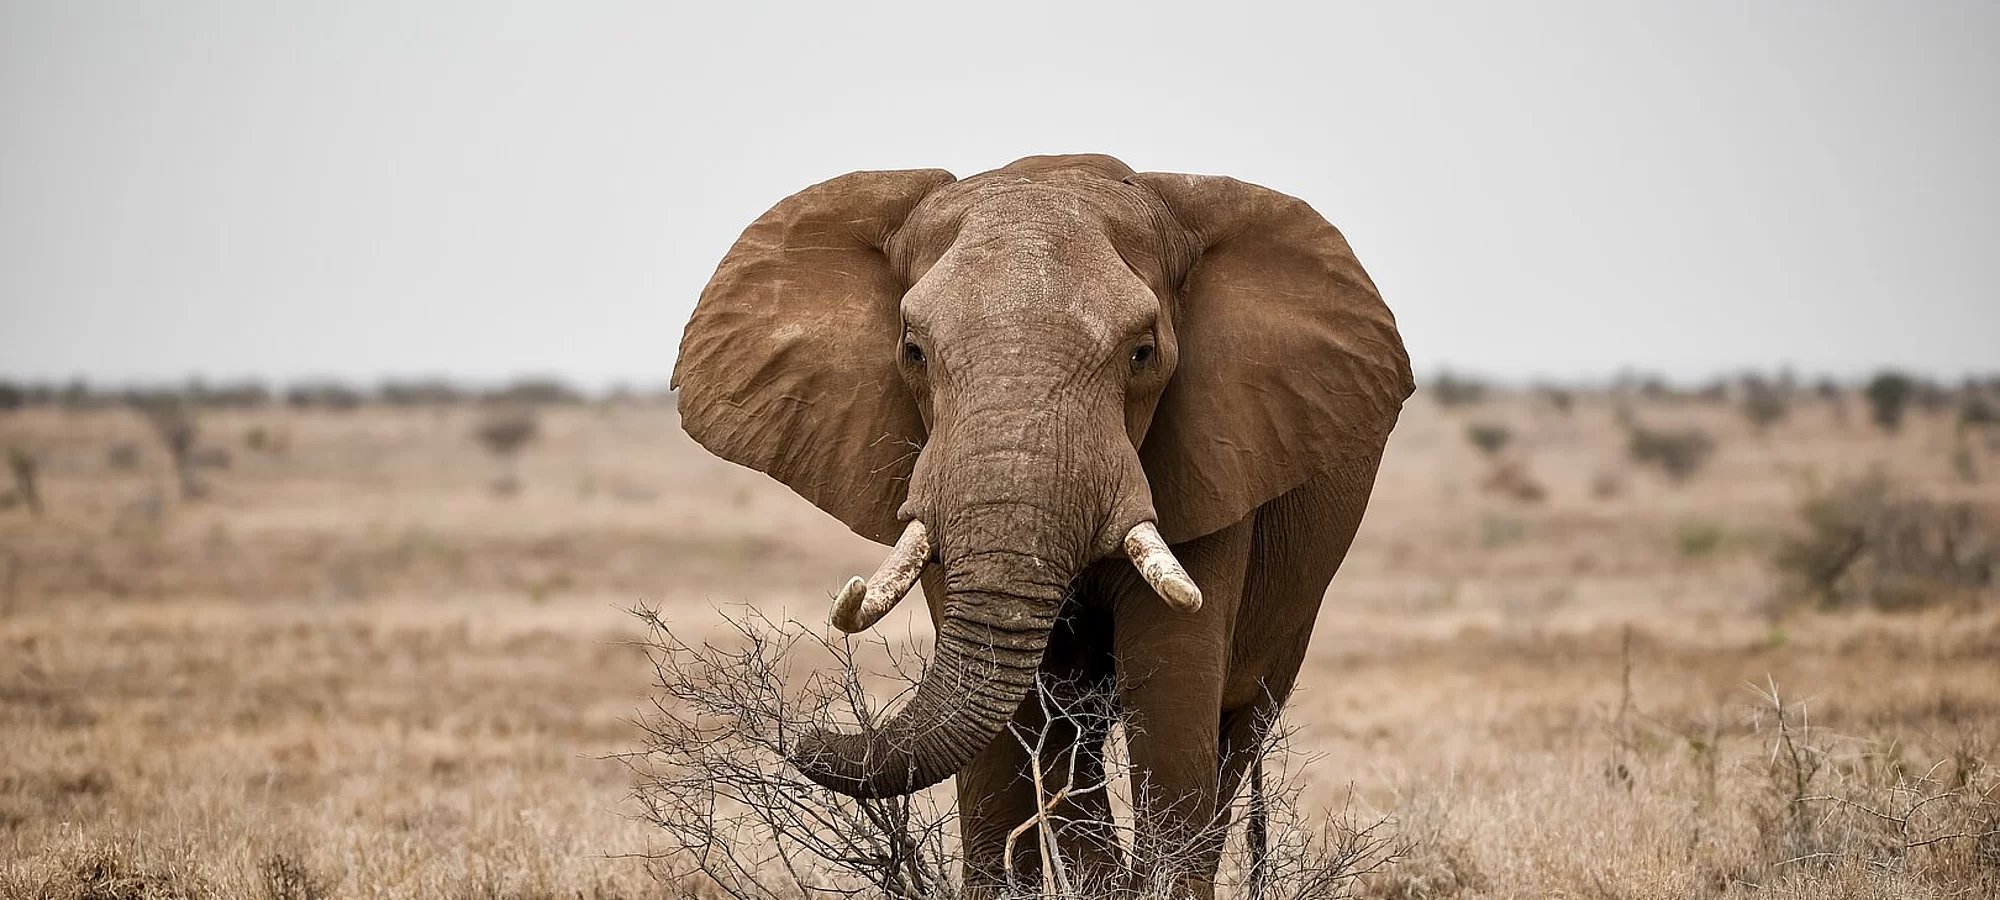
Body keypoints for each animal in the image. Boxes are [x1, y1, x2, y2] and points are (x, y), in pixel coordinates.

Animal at [672, 153, 1412, 898]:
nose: (803, 733)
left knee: (1234, 731)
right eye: (912, 351)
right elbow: (1012, 729)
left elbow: (1172, 695)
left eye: (1143, 353)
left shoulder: (1216, 461)